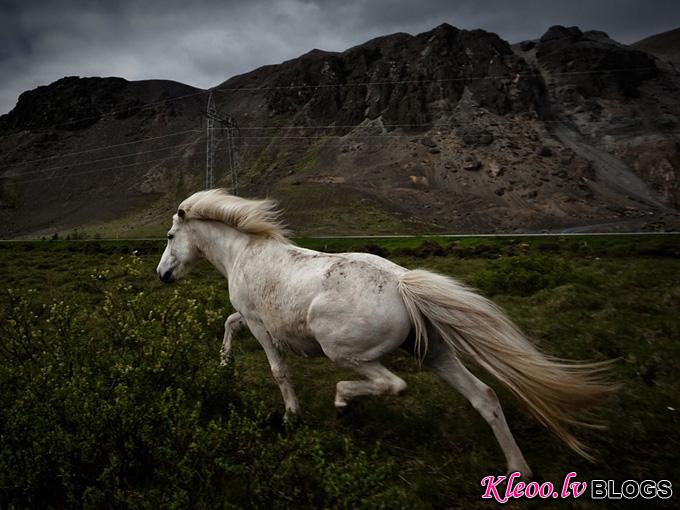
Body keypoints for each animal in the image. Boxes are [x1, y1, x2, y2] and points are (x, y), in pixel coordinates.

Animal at [157, 189, 612, 476]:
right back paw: (518, 470)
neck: (245, 253)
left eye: (171, 236)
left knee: (392, 384)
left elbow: (278, 371)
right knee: (484, 396)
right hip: (435, 353)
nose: (162, 275)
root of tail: (403, 284)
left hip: (346, 353)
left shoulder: (260, 325)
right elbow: (228, 325)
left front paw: (291, 415)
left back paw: (343, 403)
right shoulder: (252, 320)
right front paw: (224, 364)